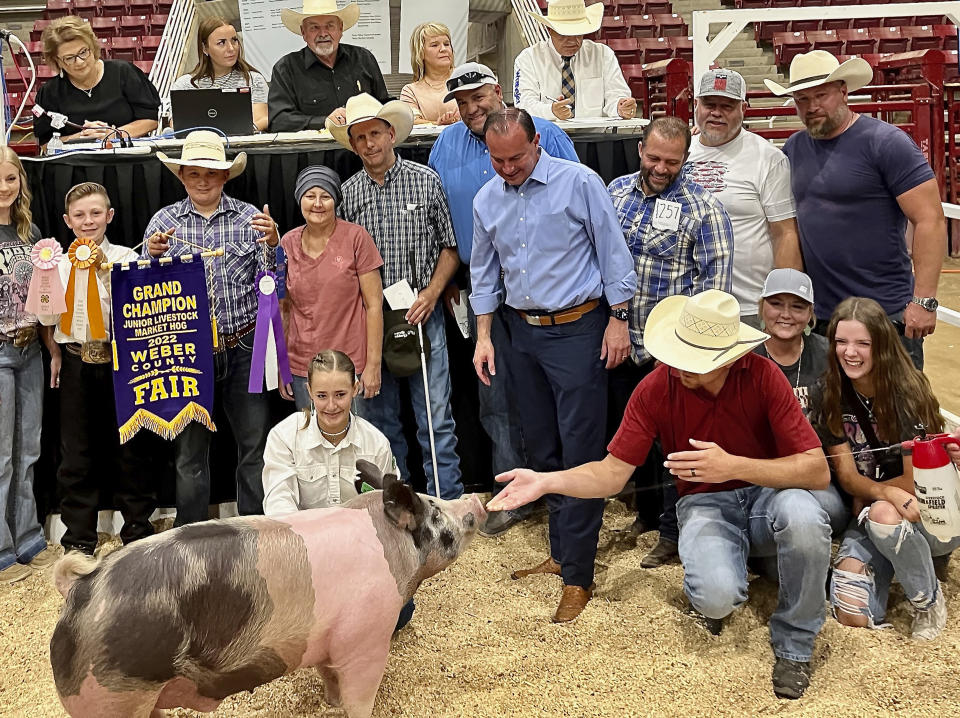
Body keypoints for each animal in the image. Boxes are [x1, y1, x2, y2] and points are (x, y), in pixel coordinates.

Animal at [48, 466, 484, 718]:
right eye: (436, 513)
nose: (473, 500)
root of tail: (81, 588)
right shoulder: (365, 641)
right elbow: (360, 697)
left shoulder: (326, 642)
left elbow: (329, 677)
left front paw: (329, 703)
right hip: (112, 698)